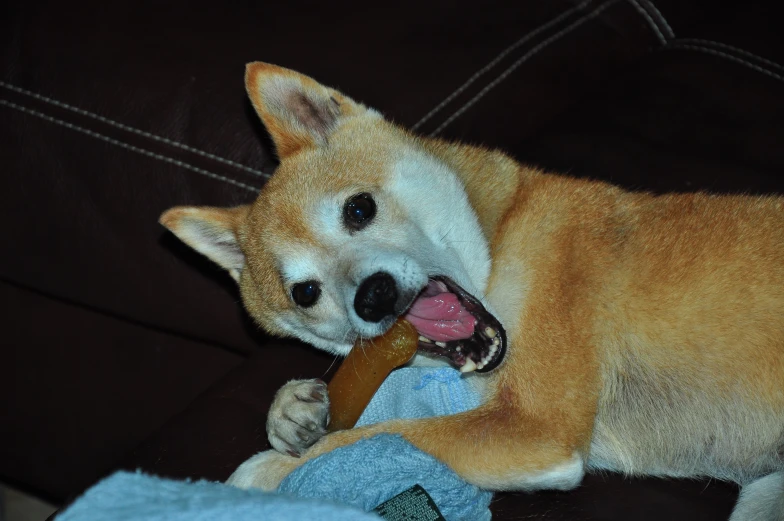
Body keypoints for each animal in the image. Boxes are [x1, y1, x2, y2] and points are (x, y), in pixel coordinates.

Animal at [161, 61, 784, 516]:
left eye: (359, 208)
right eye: (305, 293)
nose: (374, 297)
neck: (501, 232)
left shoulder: (533, 429)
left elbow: (379, 435)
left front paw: (264, 469)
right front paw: (293, 411)